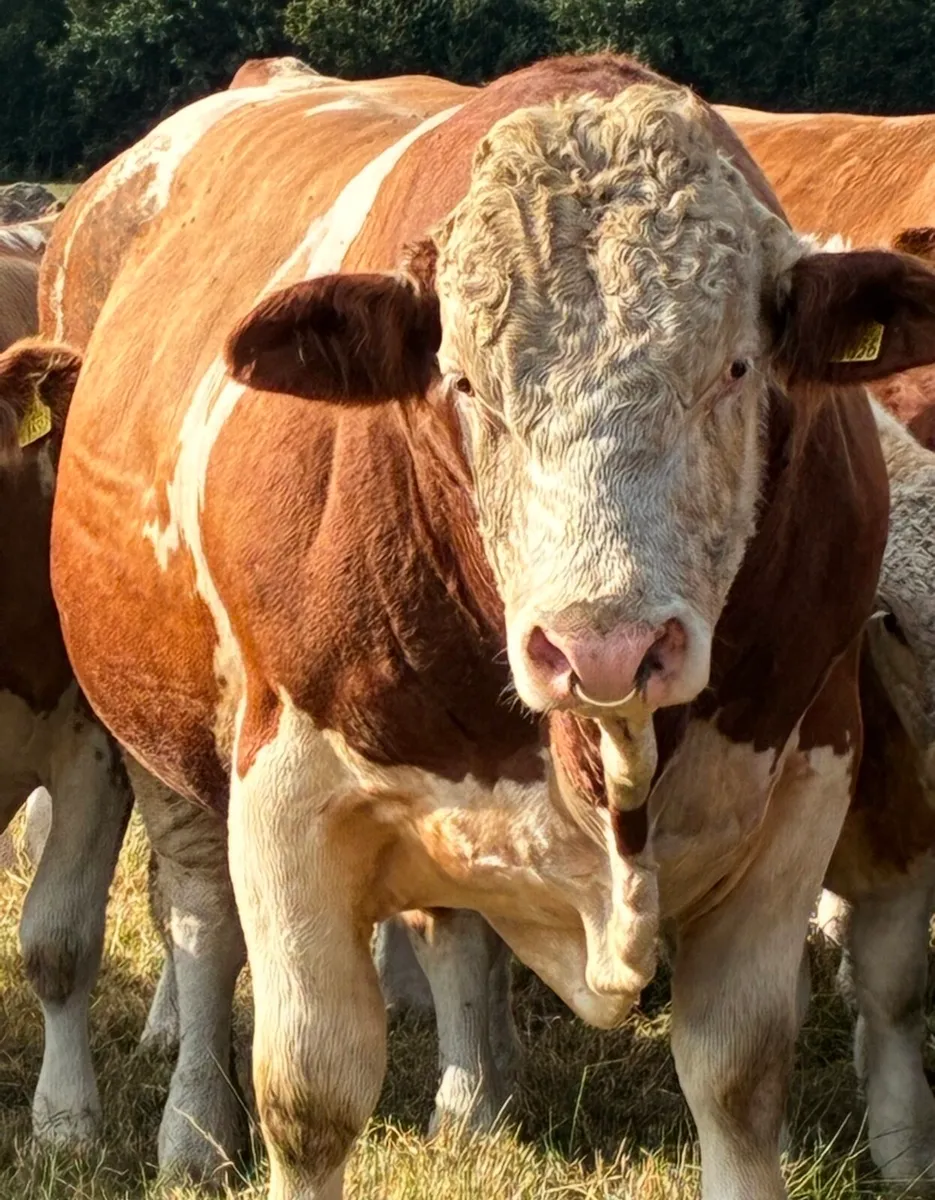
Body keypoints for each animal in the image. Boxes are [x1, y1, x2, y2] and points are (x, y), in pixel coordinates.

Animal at [40, 50, 931, 1200]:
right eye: (463, 384)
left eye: (735, 369)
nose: (604, 648)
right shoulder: (283, 799)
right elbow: (309, 1092)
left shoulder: (806, 778)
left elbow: (738, 1077)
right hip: (153, 744)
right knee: (199, 924)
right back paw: (194, 1126)